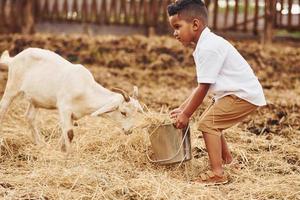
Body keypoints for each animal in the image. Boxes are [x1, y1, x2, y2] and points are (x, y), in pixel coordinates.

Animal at [0, 47, 143, 152]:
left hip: (35, 100)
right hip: (12, 86)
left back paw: (40, 144)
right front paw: (69, 154)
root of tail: (13, 59)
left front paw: (61, 149)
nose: (129, 131)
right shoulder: (64, 108)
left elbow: (65, 132)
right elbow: (69, 133)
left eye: (136, 113)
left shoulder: (74, 114)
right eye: (123, 112)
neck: (86, 90)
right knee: (3, 108)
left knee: (29, 117)